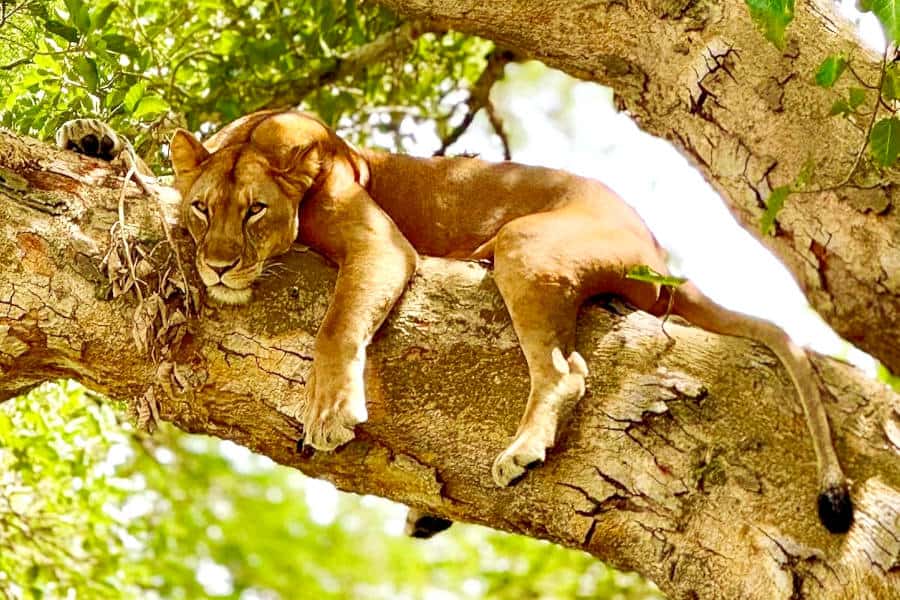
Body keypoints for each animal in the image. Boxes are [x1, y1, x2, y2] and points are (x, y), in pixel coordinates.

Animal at [57, 110, 853, 534]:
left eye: (254, 211)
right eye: (201, 210)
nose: (220, 267)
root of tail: (657, 247)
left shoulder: (380, 245)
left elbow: (337, 324)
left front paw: (329, 410)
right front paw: (91, 141)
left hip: (529, 247)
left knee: (564, 370)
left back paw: (522, 450)